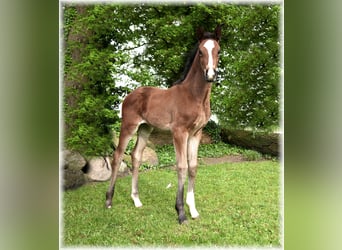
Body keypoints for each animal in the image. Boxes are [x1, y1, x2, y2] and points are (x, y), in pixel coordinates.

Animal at [106, 25, 222, 225]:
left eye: (218, 51)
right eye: (200, 51)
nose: (210, 75)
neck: (194, 96)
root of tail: (130, 95)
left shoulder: (196, 133)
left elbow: (193, 167)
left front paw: (193, 210)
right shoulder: (179, 132)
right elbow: (182, 166)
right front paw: (181, 213)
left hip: (145, 128)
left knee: (136, 155)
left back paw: (136, 200)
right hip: (128, 126)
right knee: (118, 156)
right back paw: (109, 200)